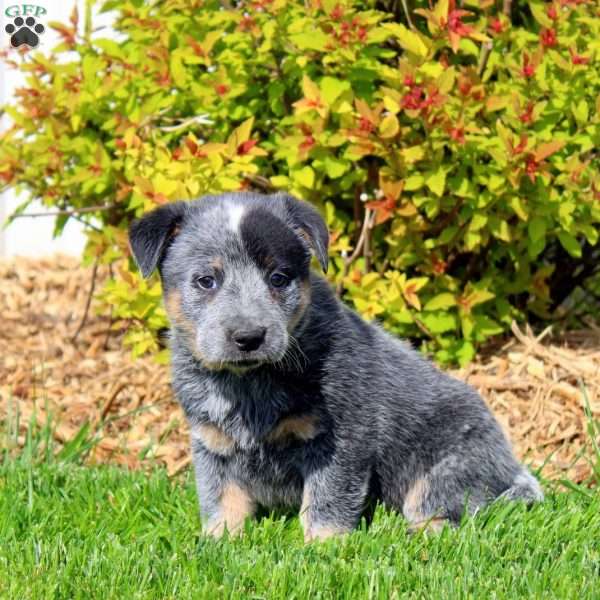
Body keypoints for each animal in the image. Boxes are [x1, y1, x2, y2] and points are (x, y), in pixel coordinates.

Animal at [131, 195, 544, 540]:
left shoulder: (341, 439)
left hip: (452, 464)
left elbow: (327, 499)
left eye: (278, 278)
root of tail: (512, 466)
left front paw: (323, 548)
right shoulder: (211, 441)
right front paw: (217, 544)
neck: (249, 385)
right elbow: (221, 500)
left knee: (439, 506)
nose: (249, 336)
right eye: (206, 280)